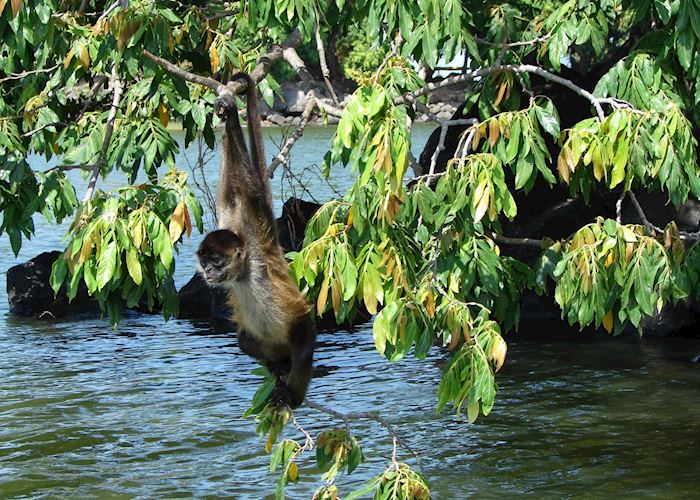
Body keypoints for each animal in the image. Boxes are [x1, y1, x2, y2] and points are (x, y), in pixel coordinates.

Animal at [197, 74, 318, 410]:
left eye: (216, 261)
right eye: (204, 261)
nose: (208, 273)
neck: (244, 272)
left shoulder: (253, 231)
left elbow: (246, 189)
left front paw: (230, 112)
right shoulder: (233, 223)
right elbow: (228, 195)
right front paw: (227, 112)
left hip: (300, 323)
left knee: (303, 347)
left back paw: (292, 394)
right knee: (246, 340)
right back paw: (278, 366)